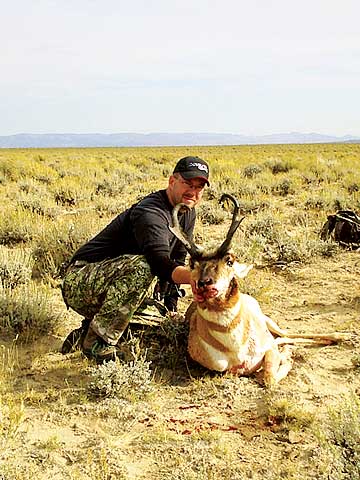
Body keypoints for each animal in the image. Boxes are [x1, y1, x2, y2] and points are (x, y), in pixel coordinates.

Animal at [170, 195, 348, 386]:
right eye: (192, 264)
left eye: (229, 261)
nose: (204, 283)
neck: (235, 346)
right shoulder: (225, 369)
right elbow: (267, 376)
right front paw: (287, 356)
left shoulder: (268, 349)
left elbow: (269, 377)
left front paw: (286, 358)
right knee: (283, 339)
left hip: (268, 321)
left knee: (285, 334)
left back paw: (341, 336)